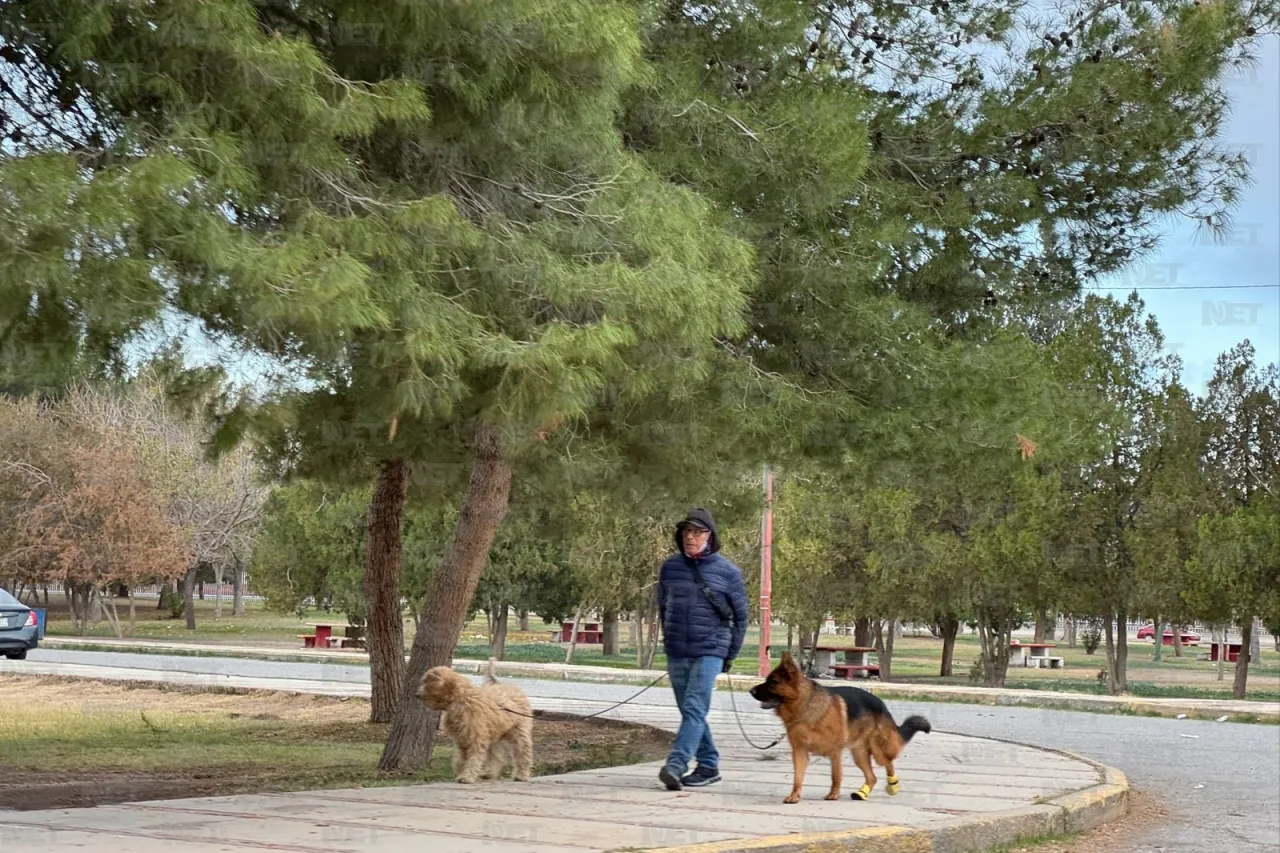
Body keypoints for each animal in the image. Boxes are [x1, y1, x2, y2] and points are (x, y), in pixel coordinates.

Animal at [417, 655, 532, 783]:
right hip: (494, 734)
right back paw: (489, 773)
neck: (461, 699)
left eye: (426, 682)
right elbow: (462, 758)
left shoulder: (475, 737)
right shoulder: (462, 739)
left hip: (519, 733)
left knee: (523, 753)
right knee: (495, 755)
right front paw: (461, 772)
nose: (417, 694)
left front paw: (467, 776)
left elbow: (473, 758)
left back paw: (521, 775)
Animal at [747, 653, 931, 799]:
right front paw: (794, 796)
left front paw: (833, 795)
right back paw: (862, 793)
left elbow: (836, 775)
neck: (805, 708)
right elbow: (797, 777)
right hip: (859, 753)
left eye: (773, 683)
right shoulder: (799, 752)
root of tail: (882, 705)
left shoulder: (835, 751)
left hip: (878, 750)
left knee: (888, 763)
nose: (750, 691)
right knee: (872, 777)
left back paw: (893, 786)